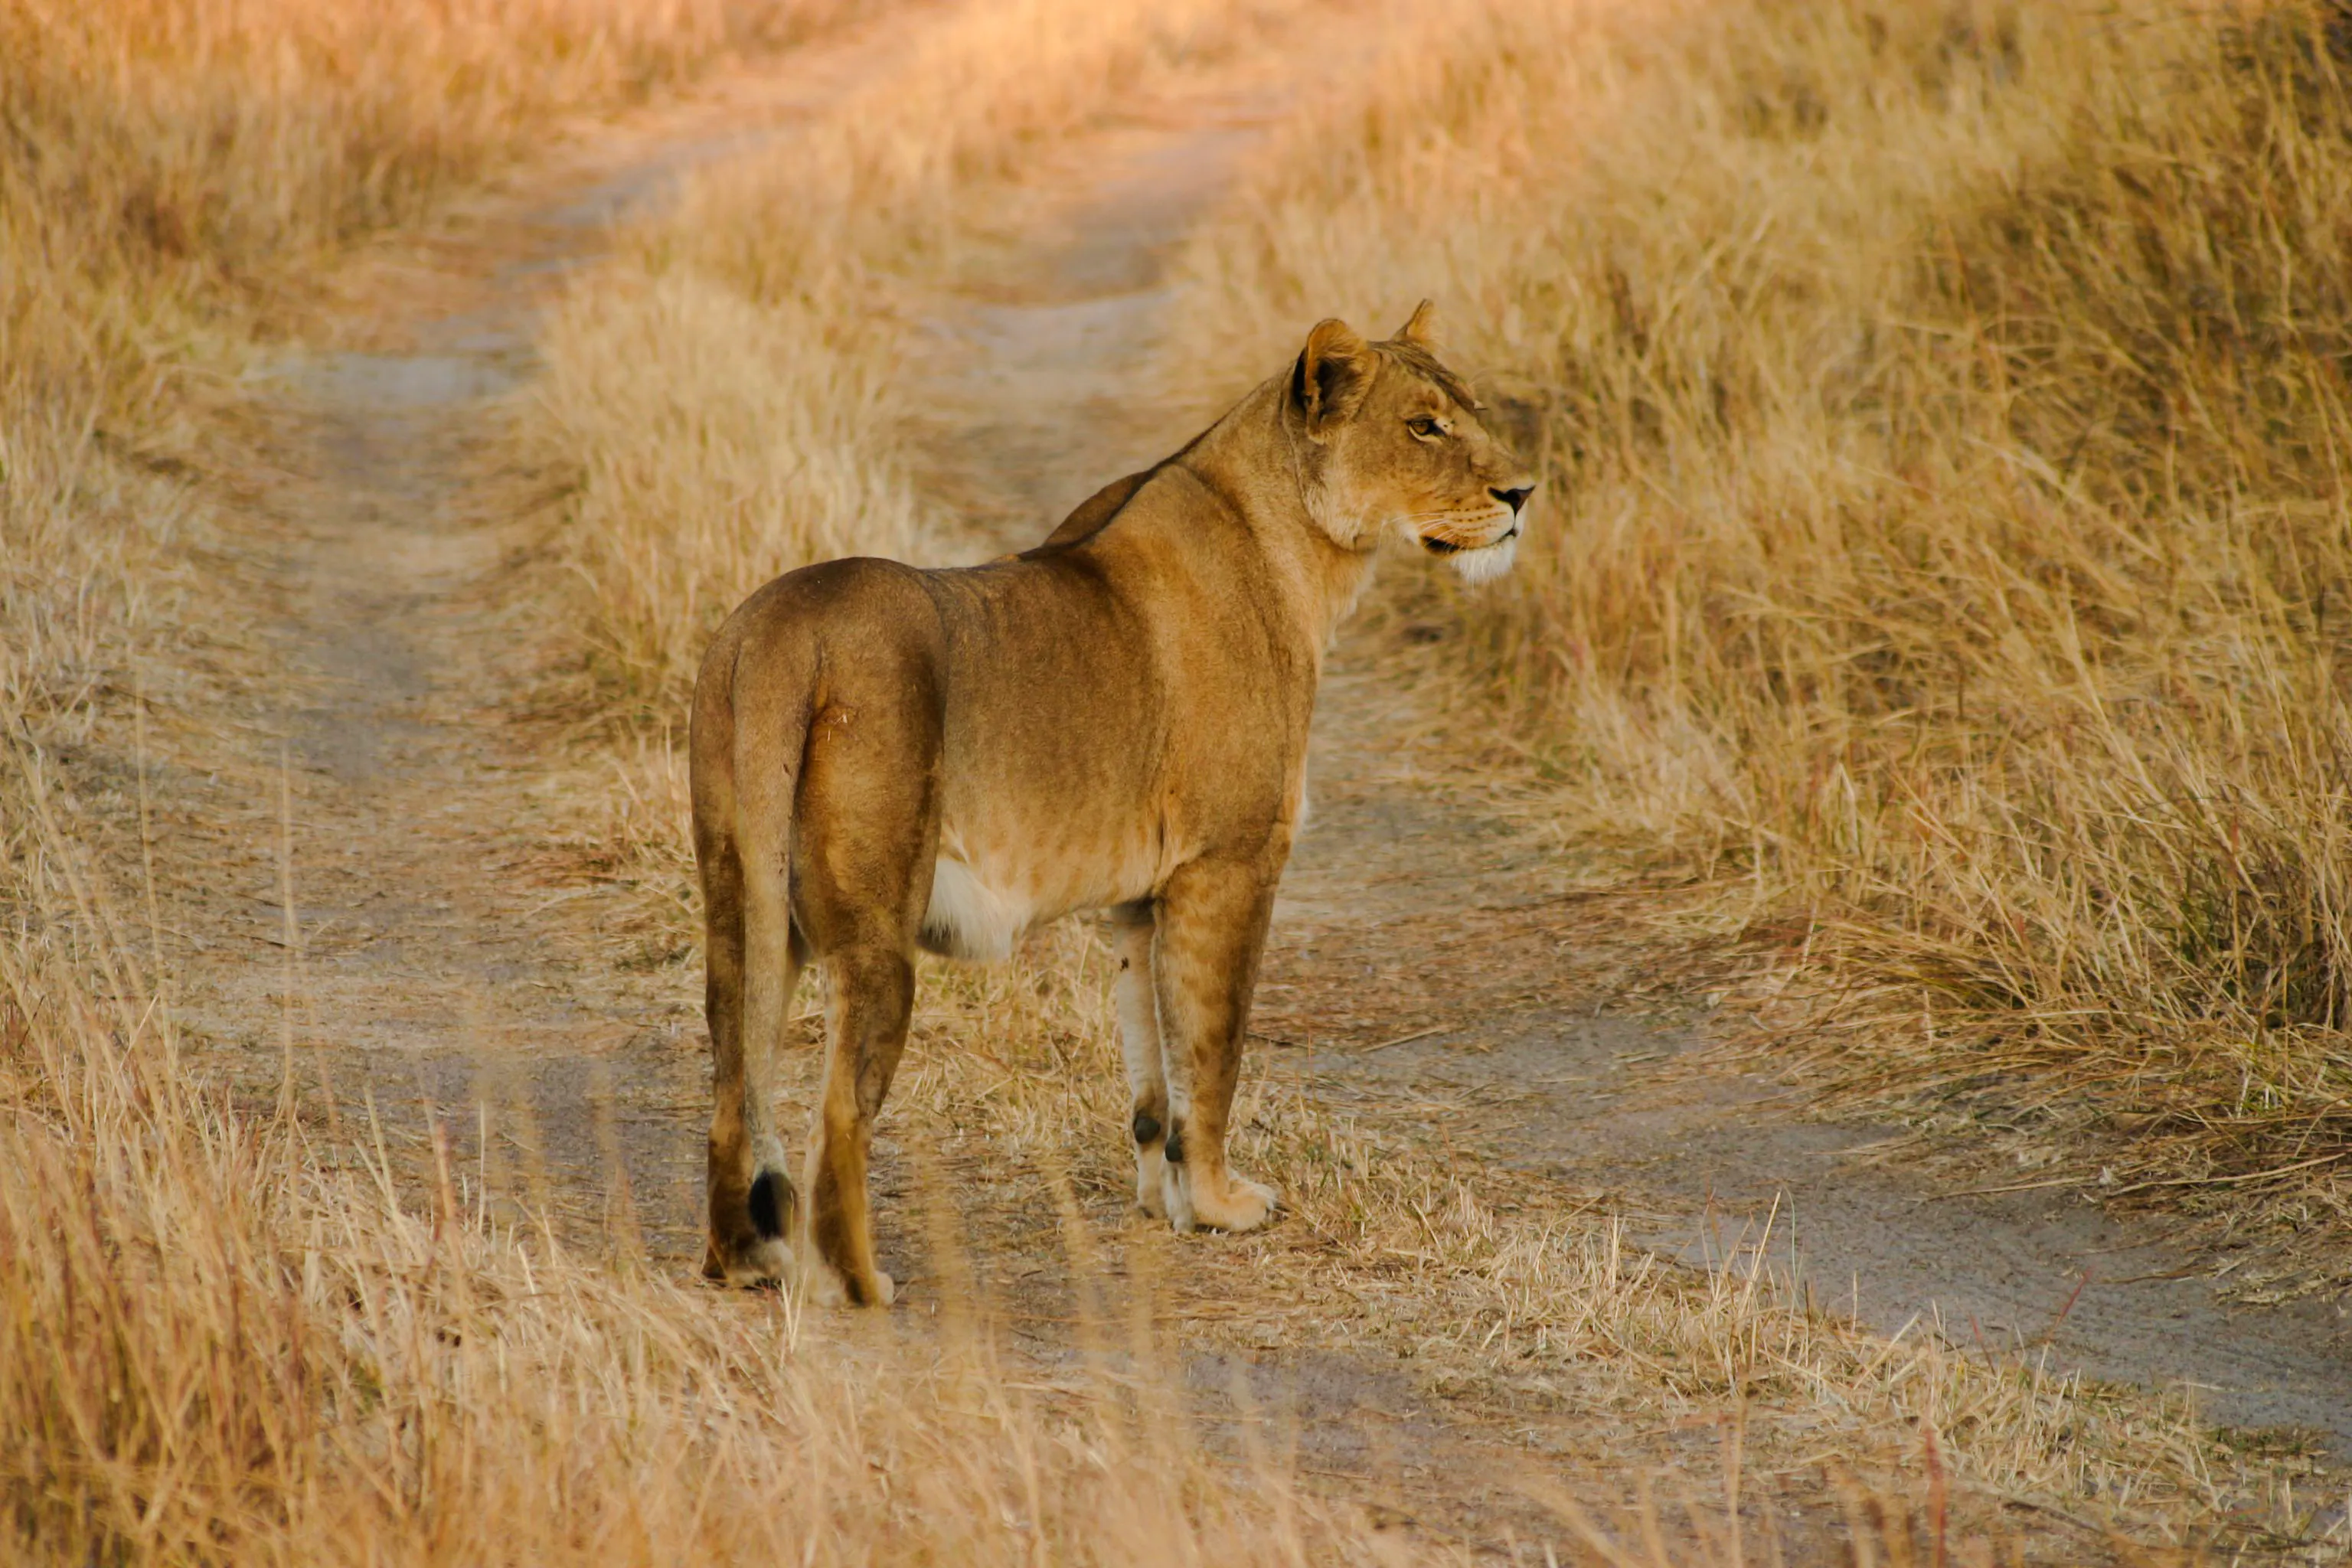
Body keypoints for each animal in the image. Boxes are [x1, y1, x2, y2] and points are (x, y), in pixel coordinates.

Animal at [692, 302, 1536, 1304]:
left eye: (1470, 409)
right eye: (1424, 427)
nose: (1523, 494)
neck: (1293, 543)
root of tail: (783, 631)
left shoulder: (1139, 897)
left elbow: (1150, 1075)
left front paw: (1160, 1200)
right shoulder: (1230, 863)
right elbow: (1212, 1054)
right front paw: (1220, 1205)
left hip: (741, 907)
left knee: (730, 1093)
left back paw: (747, 1262)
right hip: (875, 931)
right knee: (838, 1117)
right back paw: (860, 1285)